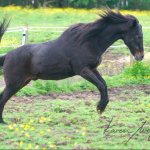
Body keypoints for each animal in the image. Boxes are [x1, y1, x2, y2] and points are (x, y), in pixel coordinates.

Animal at [0, 7, 144, 123]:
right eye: (137, 35)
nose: (141, 56)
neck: (88, 42)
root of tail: (6, 56)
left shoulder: (93, 69)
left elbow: (104, 85)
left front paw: (101, 108)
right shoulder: (83, 70)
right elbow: (101, 86)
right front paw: (100, 107)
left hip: (22, 83)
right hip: (14, 84)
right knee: (3, 98)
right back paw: (3, 122)